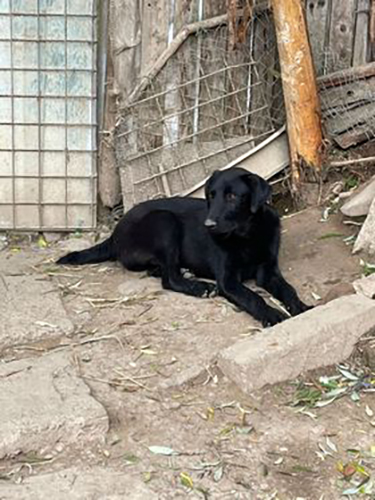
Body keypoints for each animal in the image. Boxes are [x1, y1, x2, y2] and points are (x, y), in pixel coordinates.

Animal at [58, 166, 312, 326]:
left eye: (232, 197)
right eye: (211, 195)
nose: (208, 225)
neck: (246, 235)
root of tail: (114, 233)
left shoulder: (268, 271)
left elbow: (289, 290)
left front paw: (302, 307)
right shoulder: (227, 280)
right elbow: (253, 298)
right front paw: (272, 314)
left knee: (160, 271)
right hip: (164, 221)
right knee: (168, 278)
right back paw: (198, 287)